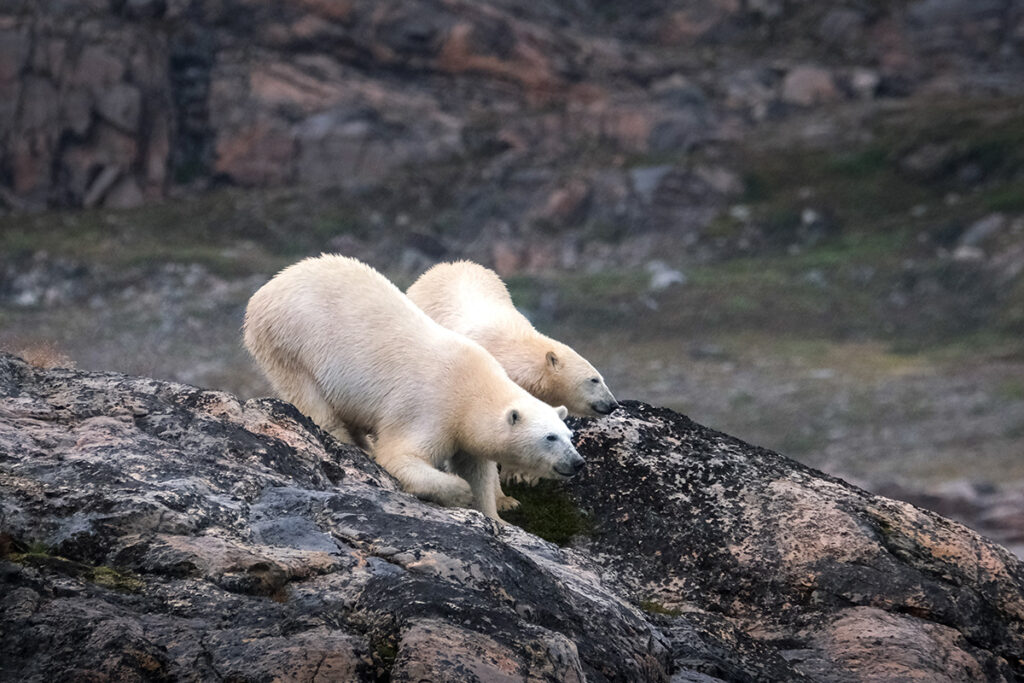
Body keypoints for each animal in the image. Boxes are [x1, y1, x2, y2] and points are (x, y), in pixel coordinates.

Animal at [240, 253, 589, 520]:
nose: (577, 463)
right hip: (290, 342)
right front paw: (459, 494)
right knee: (312, 399)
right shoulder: (430, 407)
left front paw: (494, 516)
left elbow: (476, 468)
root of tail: (268, 287)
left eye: (570, 435)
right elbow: (400, 456)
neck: (472, 388)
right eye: (549, 437)